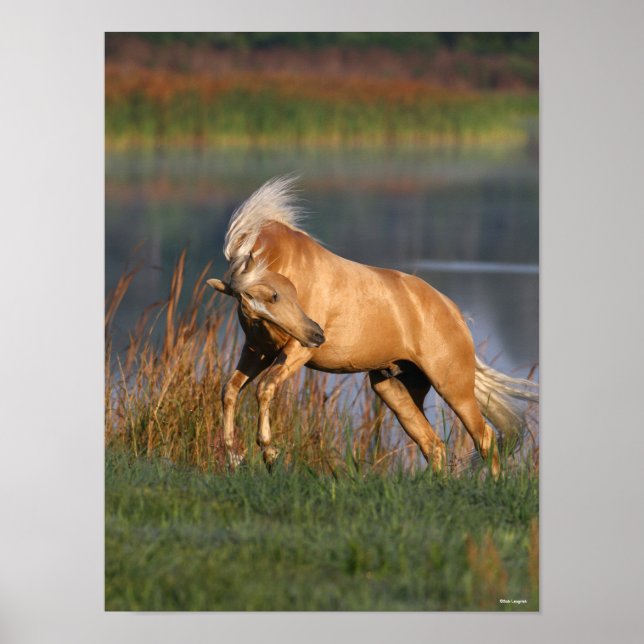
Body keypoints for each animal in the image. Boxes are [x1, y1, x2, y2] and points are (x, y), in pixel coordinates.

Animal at [207, 176, 538, 477]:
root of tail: (455, 313)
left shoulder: (295, 351)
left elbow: (265, 388)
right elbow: (230, 391)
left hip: (453, 388)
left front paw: (269, 452)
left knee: (485, 438)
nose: (317, 335)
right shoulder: (257, 350)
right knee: (433, 445)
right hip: (393, 388)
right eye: (248, 308)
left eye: (276, 295)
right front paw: (234, 458)